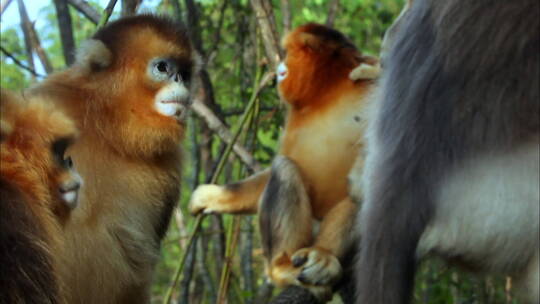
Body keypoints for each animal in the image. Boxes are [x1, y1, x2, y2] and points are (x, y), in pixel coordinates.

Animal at [27, 14, 200, 304]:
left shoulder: (171, 163)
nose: (180, 80)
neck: (108, 128)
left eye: (186, 74)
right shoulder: (49, 101)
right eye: (163, 67)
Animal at [190, 23, 380, 300]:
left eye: (288, 54)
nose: (280, 69)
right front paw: (215, 196)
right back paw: (281, 267)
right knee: (285, 168)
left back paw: (324, 254)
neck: (329, 92)